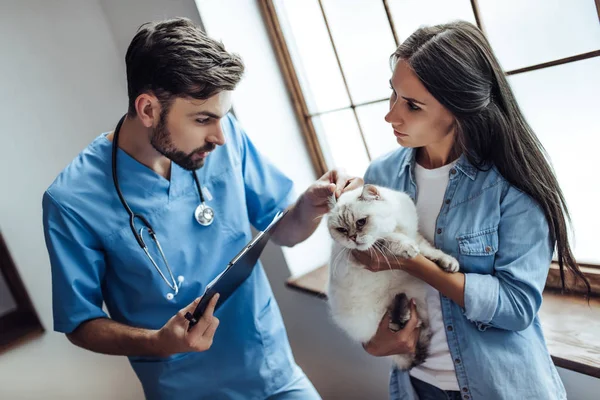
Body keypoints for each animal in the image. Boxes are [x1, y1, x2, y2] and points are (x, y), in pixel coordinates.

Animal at [326, 184, 458, 368]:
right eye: (341, 230)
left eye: (361, 222)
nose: (352, 238)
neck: (394, 224)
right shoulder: (367, 249)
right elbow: (391, 239)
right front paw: (407, 248)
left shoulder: (414, 235)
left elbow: (429, 251)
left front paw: (448, 263)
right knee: (398, 325)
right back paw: (403, 311)